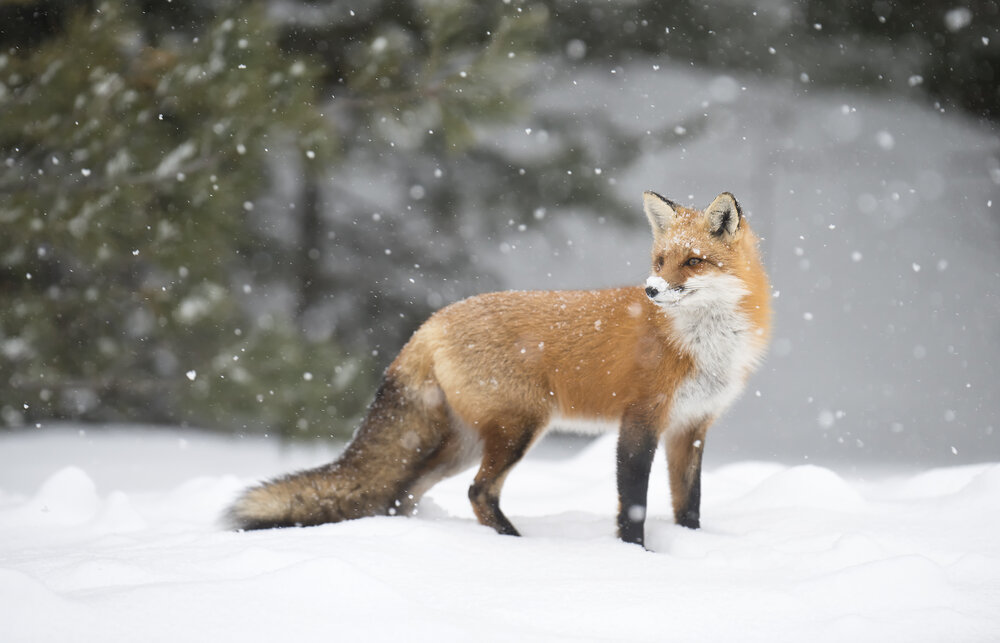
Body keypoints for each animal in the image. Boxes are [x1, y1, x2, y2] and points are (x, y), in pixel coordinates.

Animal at [229, 192, 772, 548]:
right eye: (661, 260)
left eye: (694, 261)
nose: (652, 290)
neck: (701, 343)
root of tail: (430, 322)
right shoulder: (640, 421)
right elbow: (633, 503)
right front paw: (635, 556)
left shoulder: (691, 427)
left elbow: (689, 504)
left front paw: (693, 548)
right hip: (517, 429)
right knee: (477, 491)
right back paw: (515, 544)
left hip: (467, 443)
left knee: (406, 493)